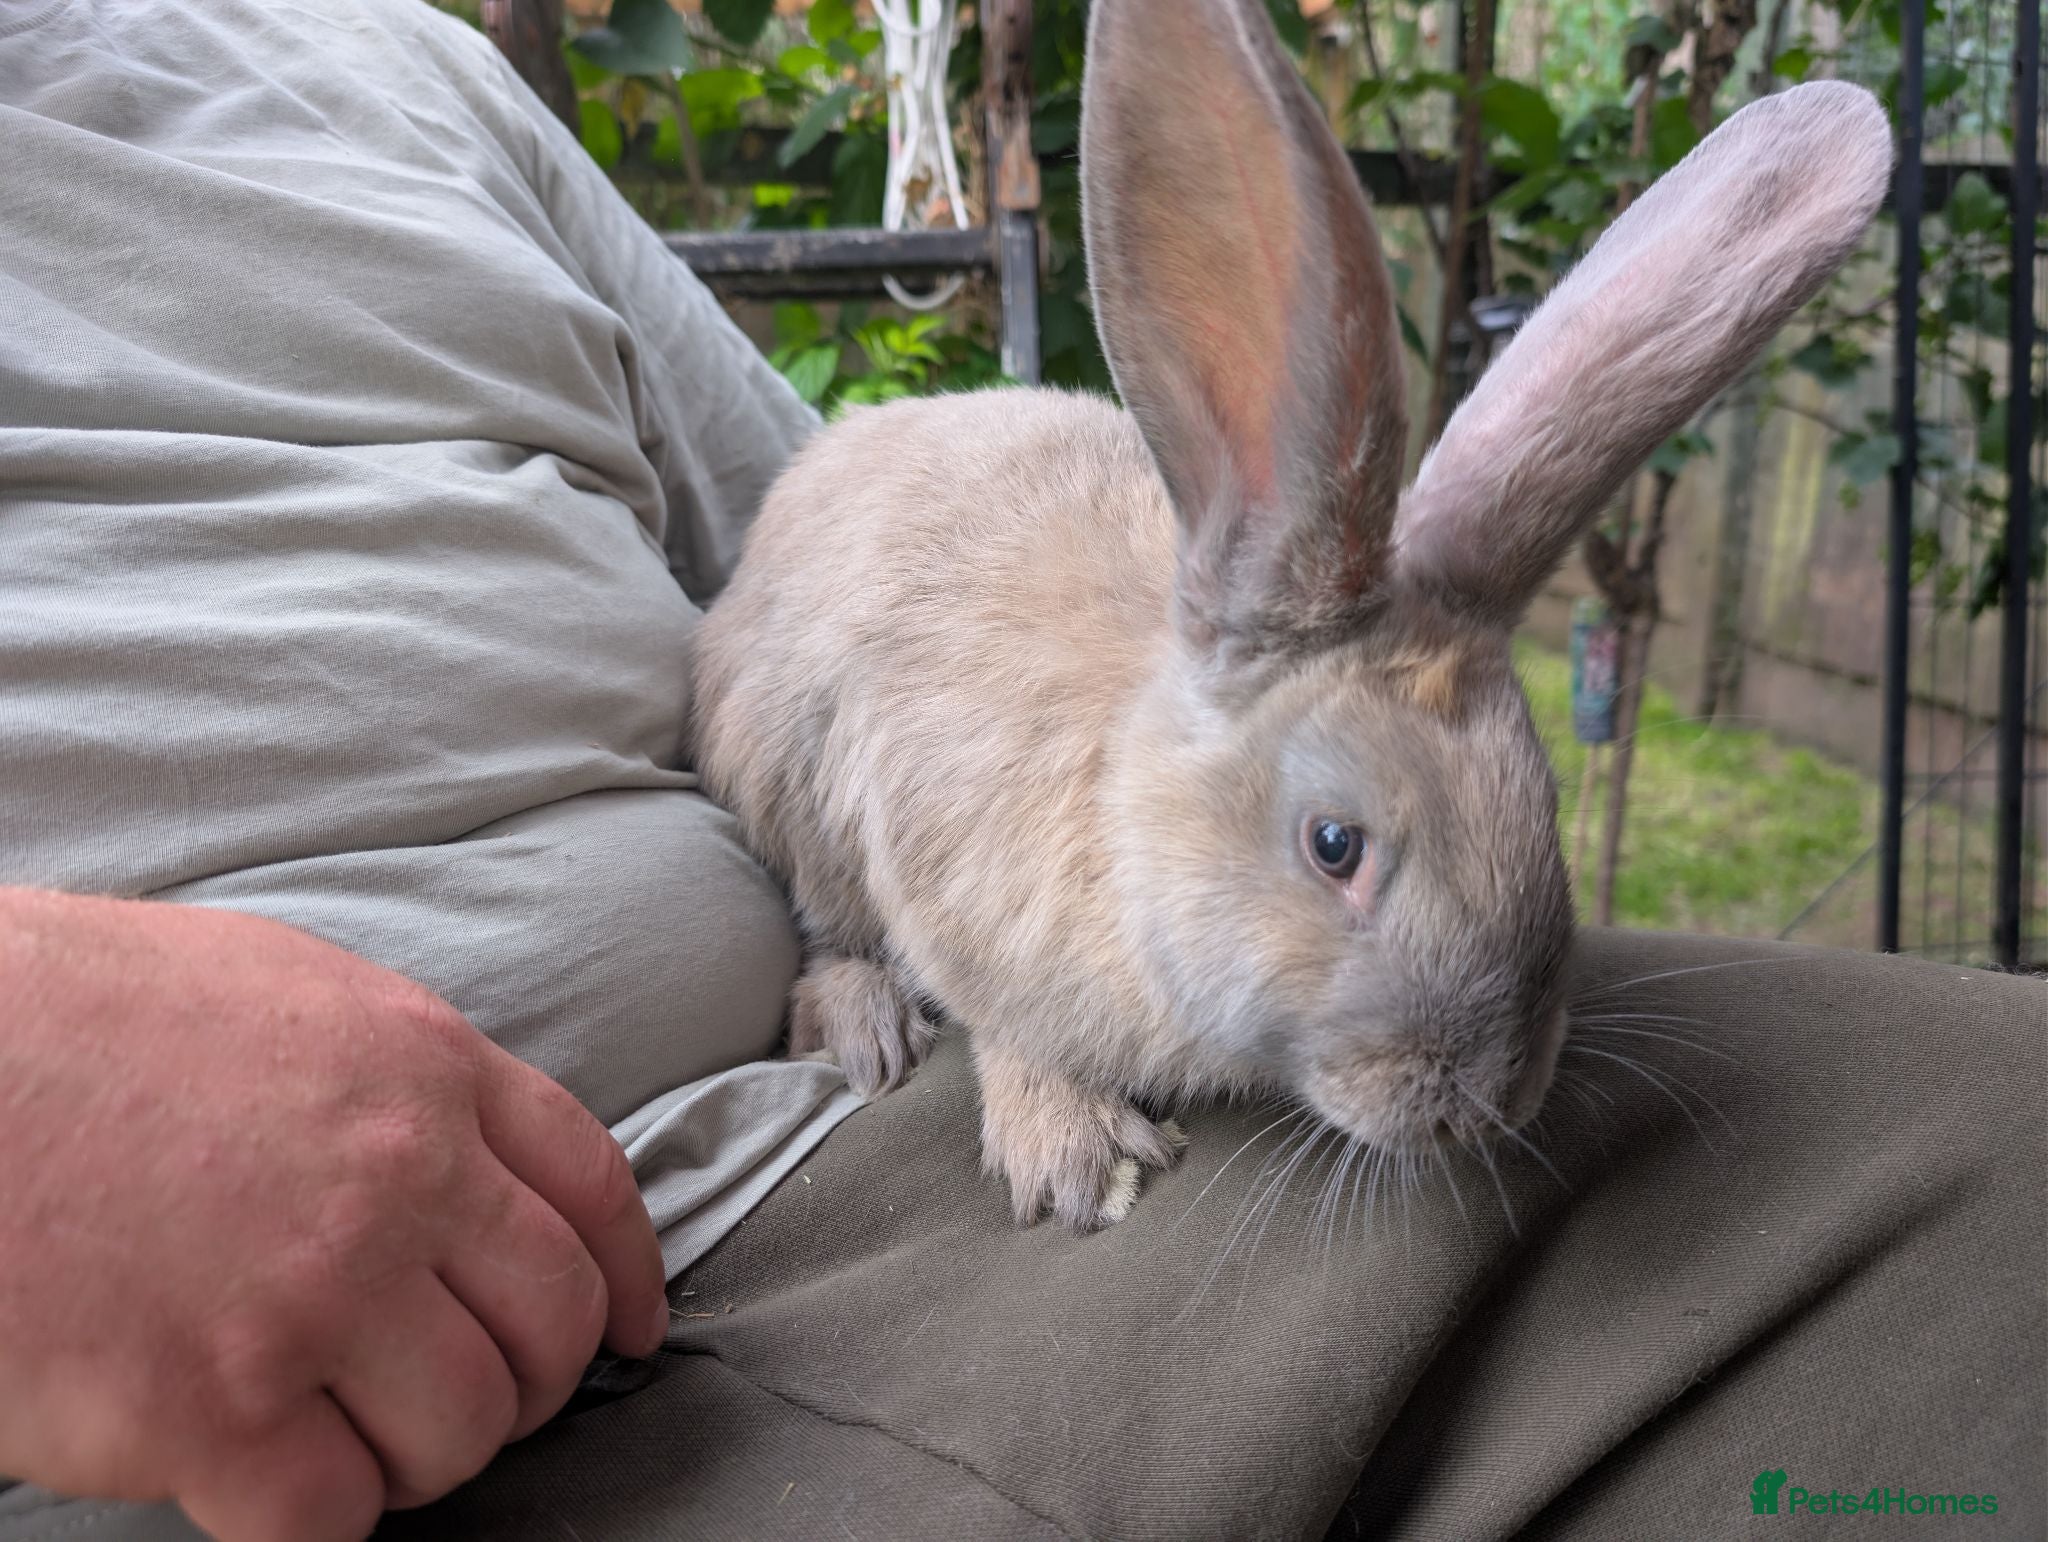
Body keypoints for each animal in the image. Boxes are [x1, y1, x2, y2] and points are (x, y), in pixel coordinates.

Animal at [690, 0, 1892, 1230]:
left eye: (1544, 800)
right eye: (1333, 845)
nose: (1489, 1104)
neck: (1129, 818)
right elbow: (1010, 1028)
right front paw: (1082, 1161)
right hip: (786, 778)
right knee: (823, 929)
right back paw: (868, 1028)